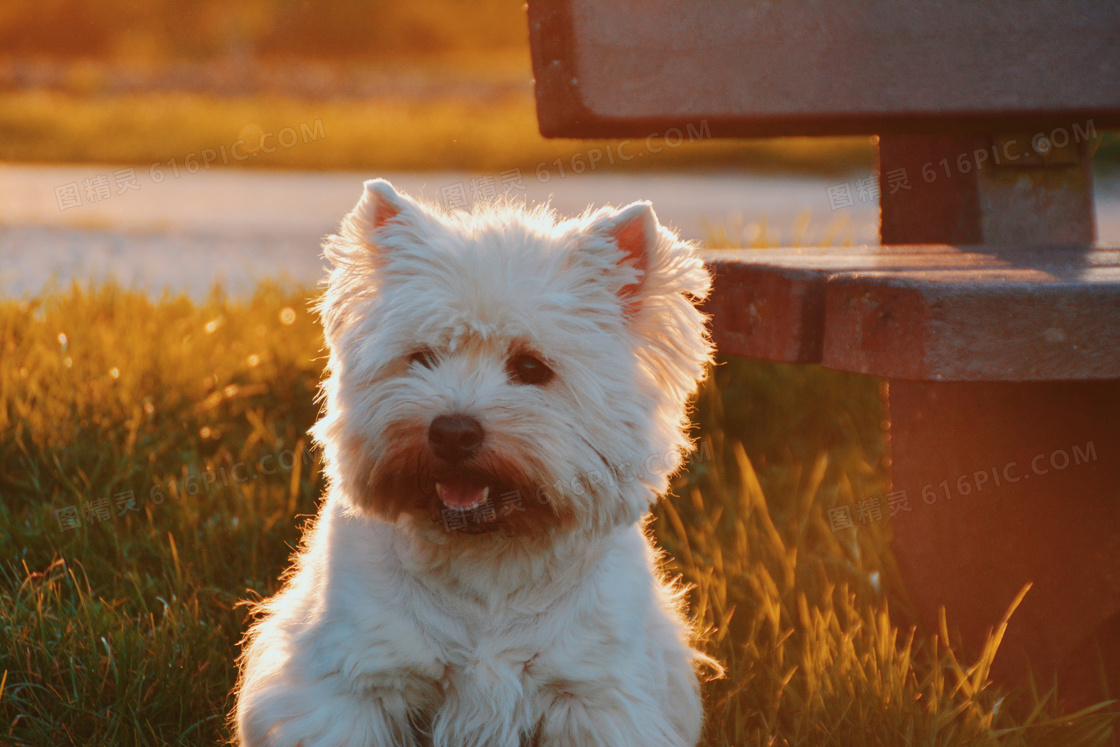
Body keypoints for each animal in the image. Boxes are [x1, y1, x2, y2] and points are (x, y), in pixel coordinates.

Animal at [236, 181, 716, 747]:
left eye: (531, 367)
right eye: (421, 357)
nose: (452, 432)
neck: (487, 559)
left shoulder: (595, 693)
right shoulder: (352, 683)